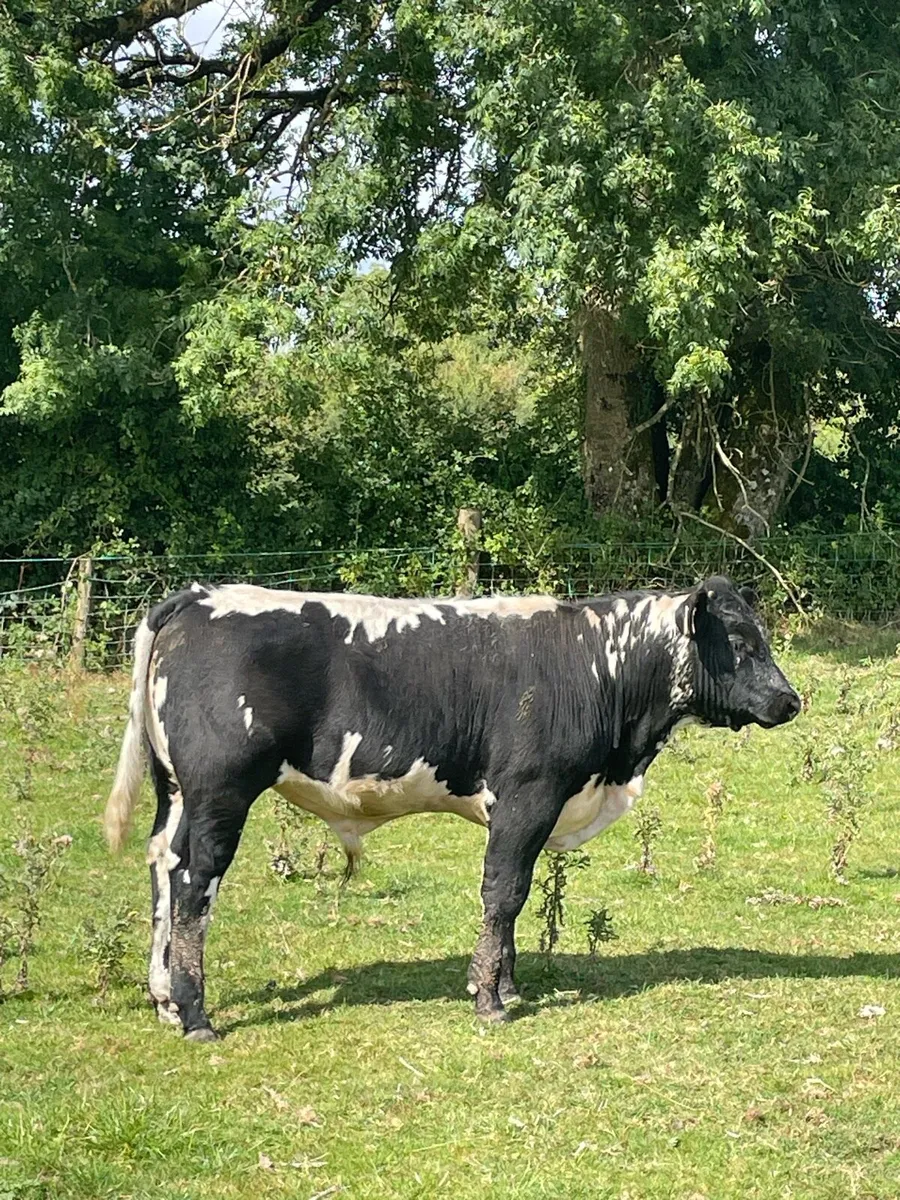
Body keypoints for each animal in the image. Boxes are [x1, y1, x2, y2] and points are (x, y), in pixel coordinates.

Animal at [104, 575, 800, 1041]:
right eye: (740, 640)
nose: (790, 700)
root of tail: (199, 596)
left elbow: (515, 893)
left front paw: (509, 983)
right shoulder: (528, 794)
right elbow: (504, 891)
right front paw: (489, 998)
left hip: (176, 793)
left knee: (162, 864)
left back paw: (164, 998)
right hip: (220, 791)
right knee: (195, 881)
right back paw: (195, 1013)